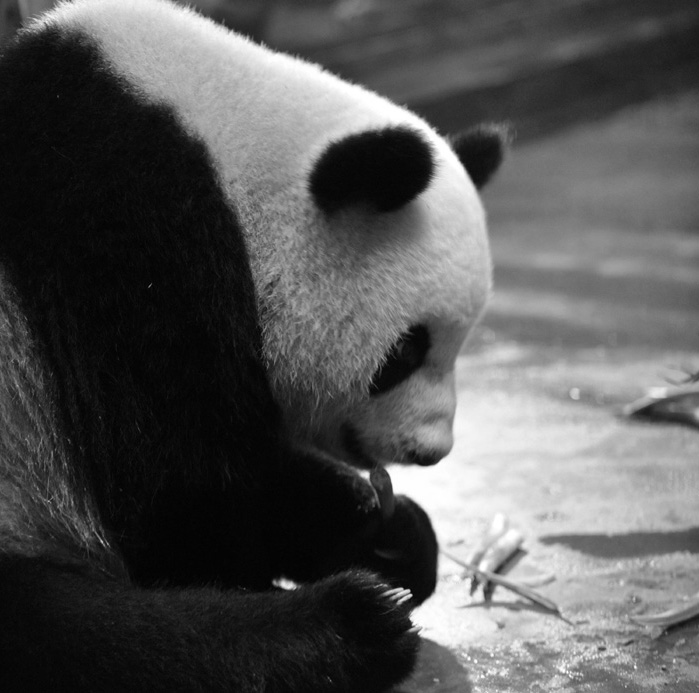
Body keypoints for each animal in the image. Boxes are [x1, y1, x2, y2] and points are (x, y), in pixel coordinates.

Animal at [0, 0, 506, 691]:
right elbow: (175, 486)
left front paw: (393, 536)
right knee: (78, 638)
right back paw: (348, 628)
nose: (430, 451)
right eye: (405, 352)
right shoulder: (122, 234)